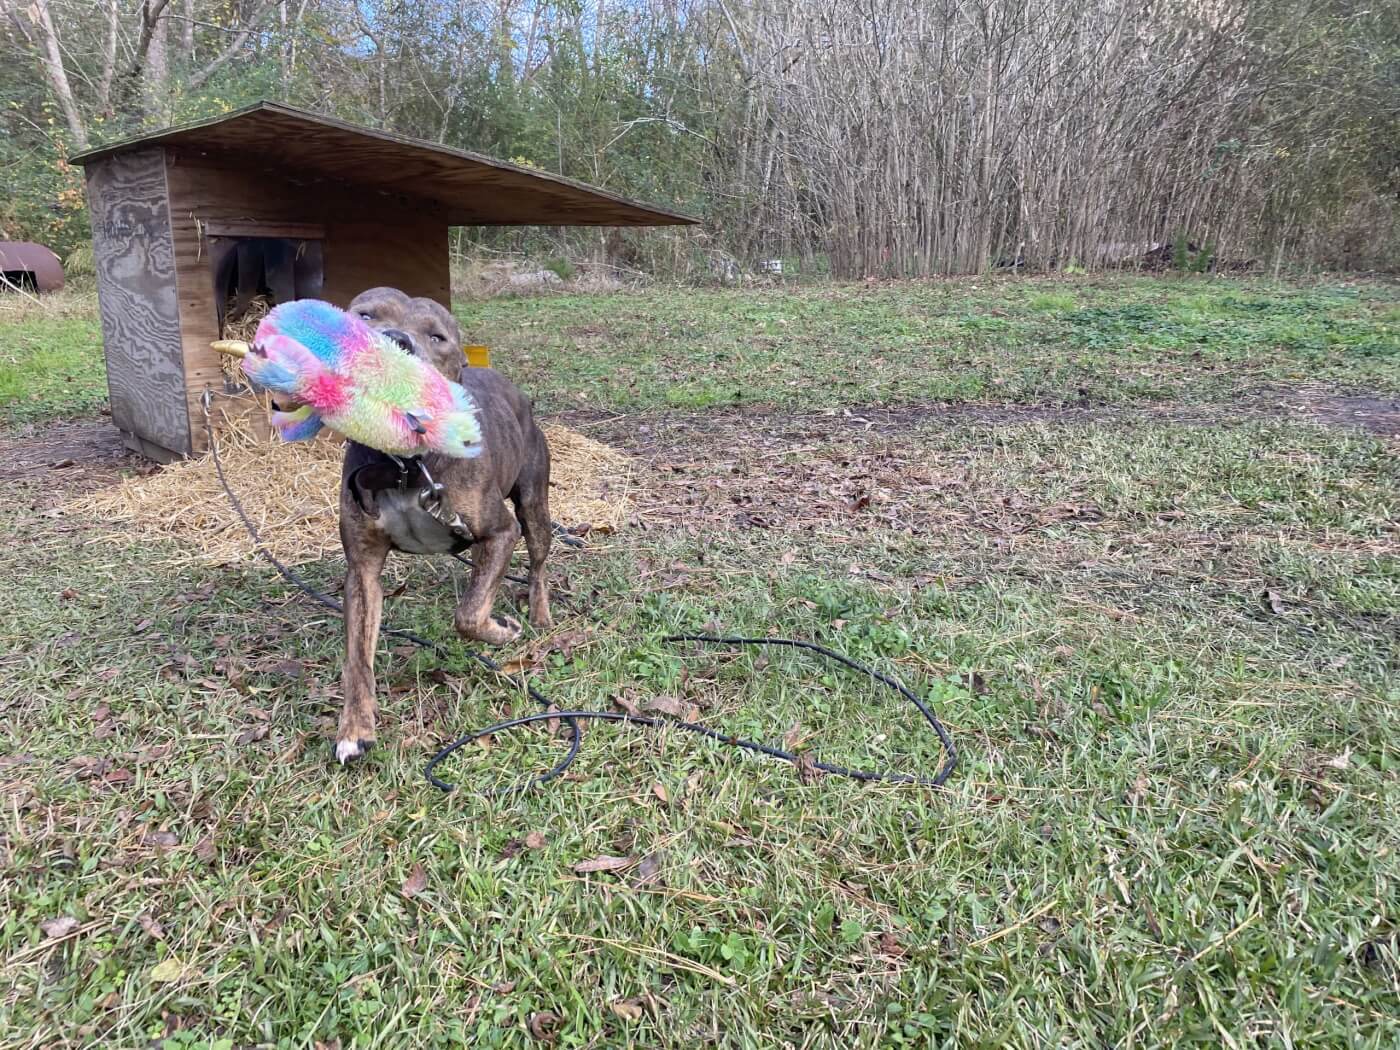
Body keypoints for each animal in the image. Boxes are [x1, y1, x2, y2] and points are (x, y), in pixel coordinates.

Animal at [336, 288, 548, 767]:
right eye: (365, 315)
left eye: (437, 337)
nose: (395, 341)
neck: (404, 466)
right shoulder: (362, 571)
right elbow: (357, 657)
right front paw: (355, 728)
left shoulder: (500, 533)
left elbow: (468, 615)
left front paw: (501, 631)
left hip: (533, 507)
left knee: (539, 563)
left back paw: (540, 613)